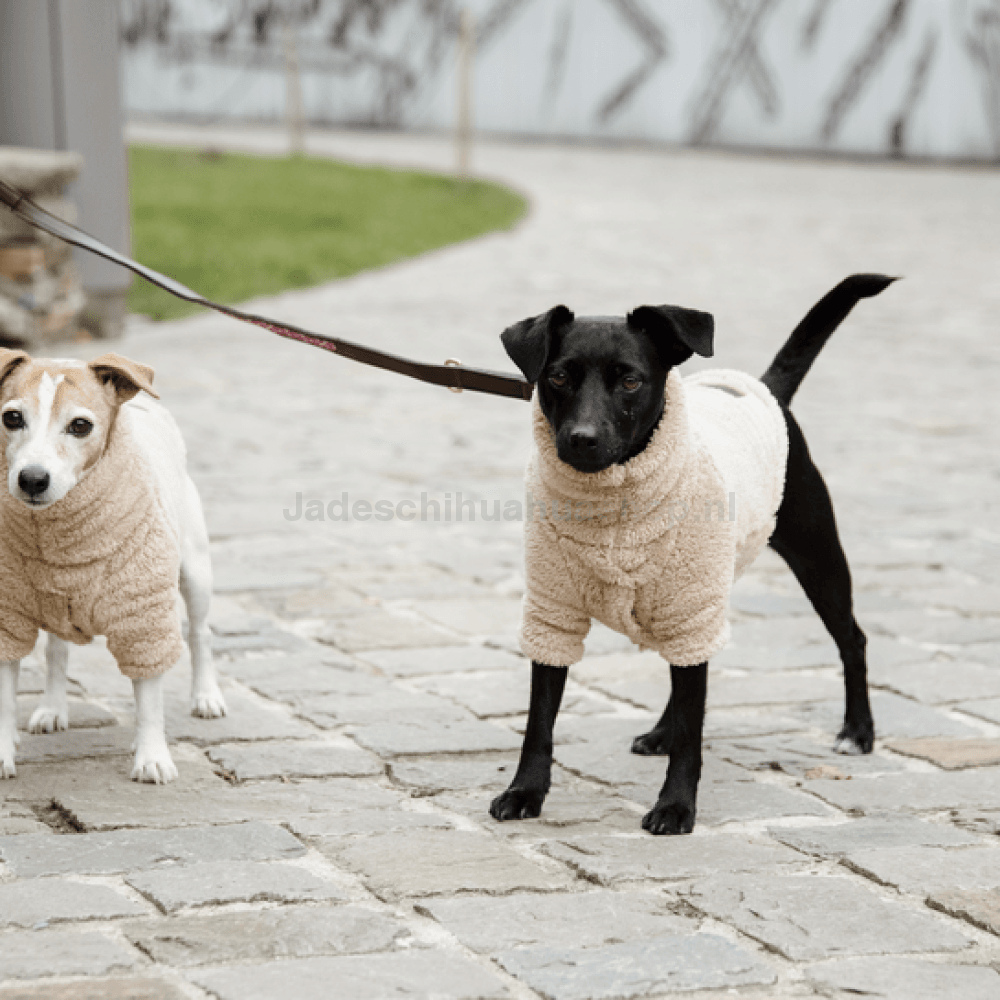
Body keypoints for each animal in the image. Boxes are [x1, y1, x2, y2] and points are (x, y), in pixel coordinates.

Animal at [0, 350, 223, 780]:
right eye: (12, 418)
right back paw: (52, 708)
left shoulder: (143, 618)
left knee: (200, 634)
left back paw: (206, 696)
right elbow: (5, 696)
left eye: (80, 425)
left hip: (196, 572)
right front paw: (3, 752)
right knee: (57, 652)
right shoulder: (7, 616)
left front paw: (152, 756)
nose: (32, 479)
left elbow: (149, 698)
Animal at [490, 274, 892, 836]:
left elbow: (692, 732)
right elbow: (539, 723)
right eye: (560, 377)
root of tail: (768, 390)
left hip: (816, 559)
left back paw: (857, 731)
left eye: (631, 381)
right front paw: (524, 791)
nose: (582, 439)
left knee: (851, 640)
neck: (614, 504)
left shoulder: (687, 603)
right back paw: (663, 730)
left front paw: (675, 806)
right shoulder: (554, 615)